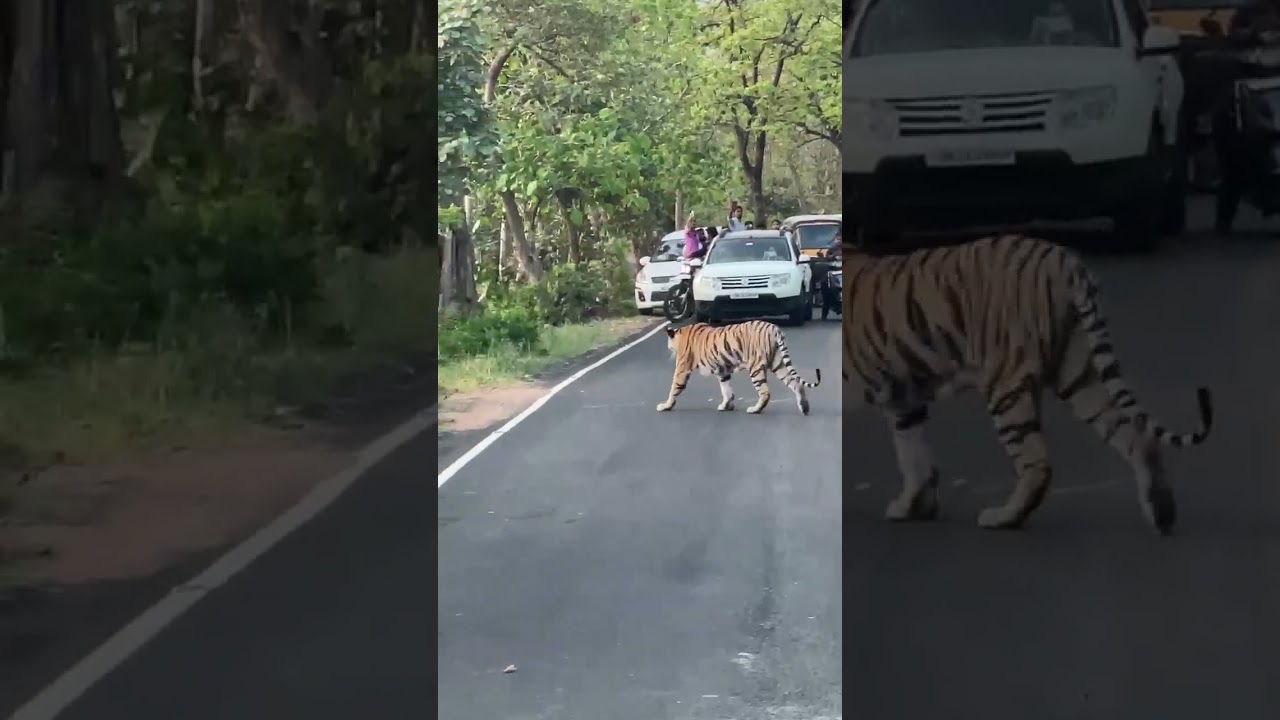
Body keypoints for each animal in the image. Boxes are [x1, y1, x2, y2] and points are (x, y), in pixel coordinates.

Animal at [657, 320, 822, 415]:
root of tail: (773, 328)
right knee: (795, 383)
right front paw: (726, 406)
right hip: (778, 363)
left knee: (765, 392)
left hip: (756, 368)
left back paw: (755, 409)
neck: (681, 333)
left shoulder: (682, 368)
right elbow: (726, 389)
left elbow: (674, 387)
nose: (669, 351)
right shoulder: (722, 370)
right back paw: (804, 407)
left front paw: (666, 406)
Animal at [843, 233, 1213, 534]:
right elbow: (913, 454)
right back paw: (1162, 511)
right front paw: (913, 508)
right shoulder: (902, 396)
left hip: (1006, 385)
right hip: (1080, 372)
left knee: (1037, 462)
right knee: (1135, 435)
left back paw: (1002, 517)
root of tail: (1066, 260)